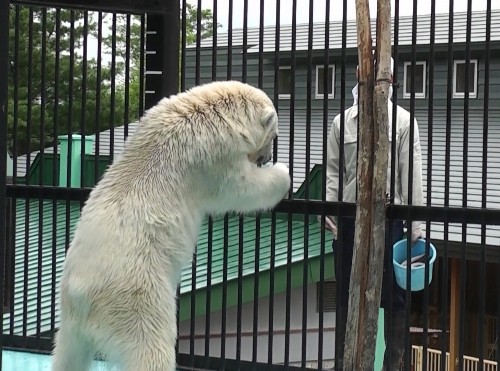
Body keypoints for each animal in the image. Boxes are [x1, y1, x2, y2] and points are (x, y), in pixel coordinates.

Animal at [51, 81, 290, 371]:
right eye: (274, 134)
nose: (266, 157)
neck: (212, 113)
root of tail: (80, 295)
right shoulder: (215, 156)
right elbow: (240, 188)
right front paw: (283, 173)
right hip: (136, 297)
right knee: (151, 348)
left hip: (69, 320)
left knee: (67, 354)